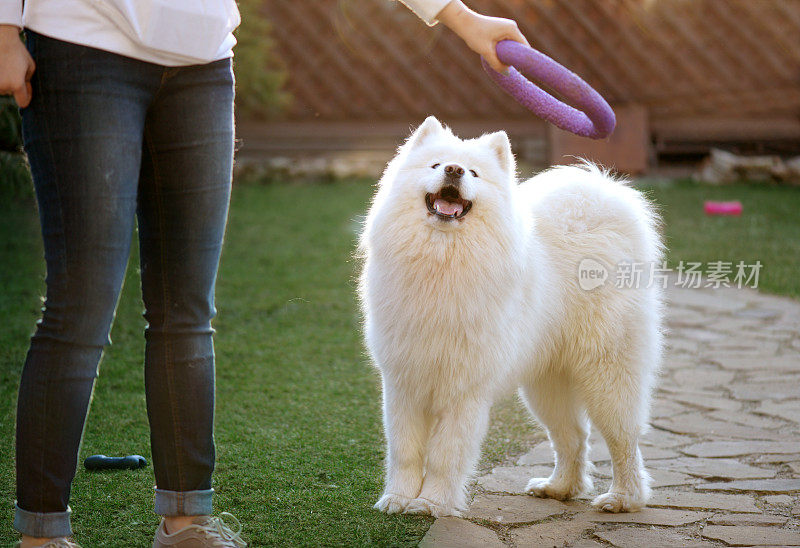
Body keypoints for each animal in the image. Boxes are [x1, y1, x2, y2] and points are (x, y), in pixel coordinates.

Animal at [358, 116, 664, 520]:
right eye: (436, 165)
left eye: (473, 173)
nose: (454, 171)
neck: (441, 261)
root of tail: (600, 198)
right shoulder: (404, 383)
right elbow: (405, 451)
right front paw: (397, 498)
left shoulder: (463, 389)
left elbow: (444, 454)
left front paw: (431, 503)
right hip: (546, 385)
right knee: (573, 436)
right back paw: (559, 488)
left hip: (607, 376)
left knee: (623, 440)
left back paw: (623, 498)